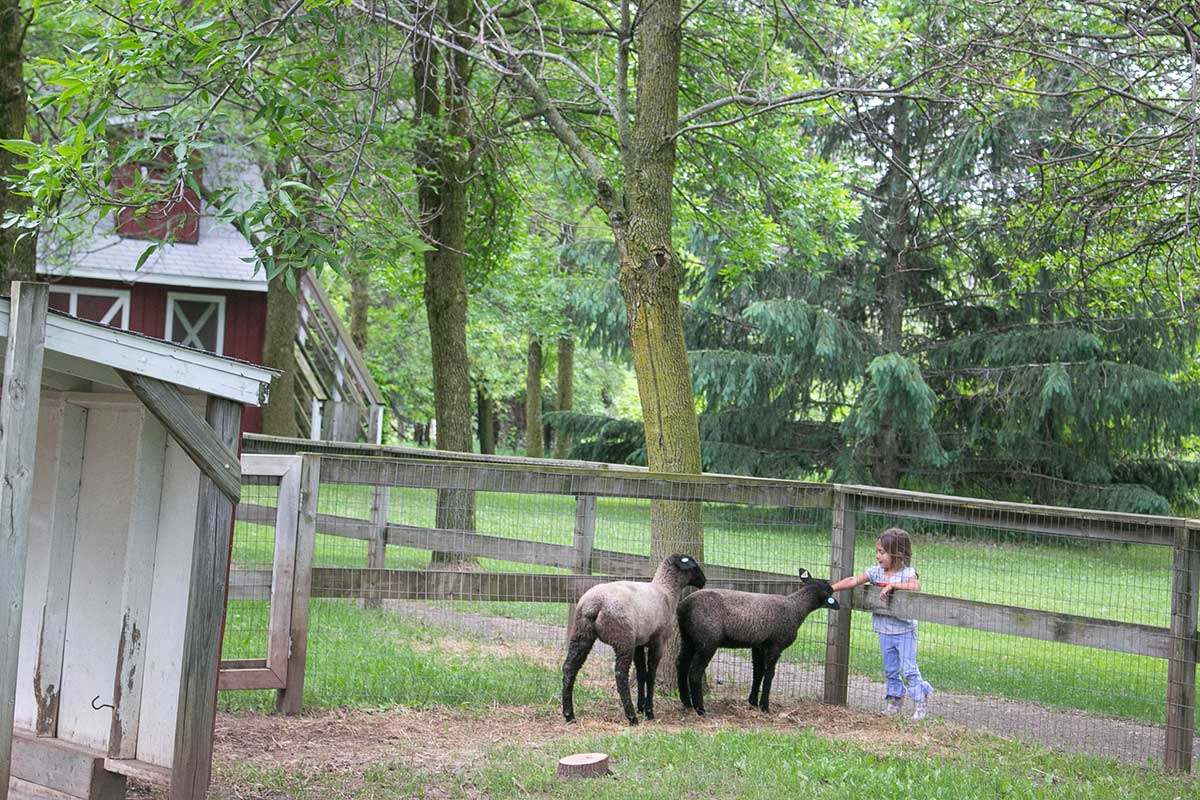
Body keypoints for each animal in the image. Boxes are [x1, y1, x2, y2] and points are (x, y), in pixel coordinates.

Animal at [564, 554, 705, 729]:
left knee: (569, 667)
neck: (666, 591)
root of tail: (595, 604)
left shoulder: (639, 643)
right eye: (694, 566)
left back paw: (569, 715)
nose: (704, 581)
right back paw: (631, 717)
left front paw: (641, 707)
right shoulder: (658, 642)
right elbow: (650, 675)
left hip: (582, 633)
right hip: (623, 639)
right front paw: (649, 711)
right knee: (620, 674)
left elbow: (641, 674)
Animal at [681, 573, 840, 714]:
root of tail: (685, 605)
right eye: (829, 589)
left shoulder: (759, 645)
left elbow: (758, 672)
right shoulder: (776, 645)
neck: (796, 607)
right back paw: (700, 709)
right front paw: (765, 706)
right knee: (694, 672)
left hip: (687, 638)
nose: (835, 588)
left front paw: (753, 702)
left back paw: (686, 702)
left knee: (680, 664)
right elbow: (769, 674)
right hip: (707, 641)